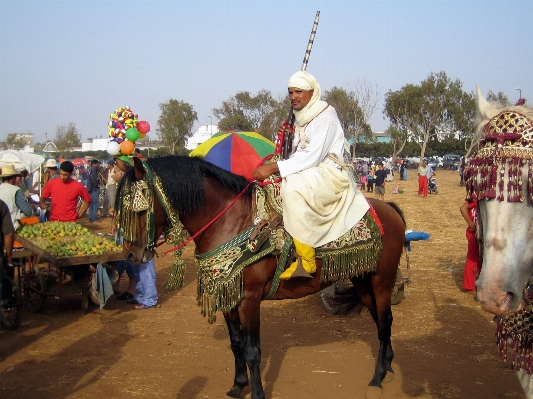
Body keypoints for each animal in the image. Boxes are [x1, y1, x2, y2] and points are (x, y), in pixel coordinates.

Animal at [116, 156, 406, 399]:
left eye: (140, 209)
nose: (131, 254)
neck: (234, 223)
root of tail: (390, 210)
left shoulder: (249, 299)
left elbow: (252, 350)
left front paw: (256, 393)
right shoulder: (230, 297)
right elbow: (236, 344)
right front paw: (237, 386)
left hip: (381, 282)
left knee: (384, 323)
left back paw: (377, 379)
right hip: (363, 281)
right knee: (382, 322)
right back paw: (389, 368)